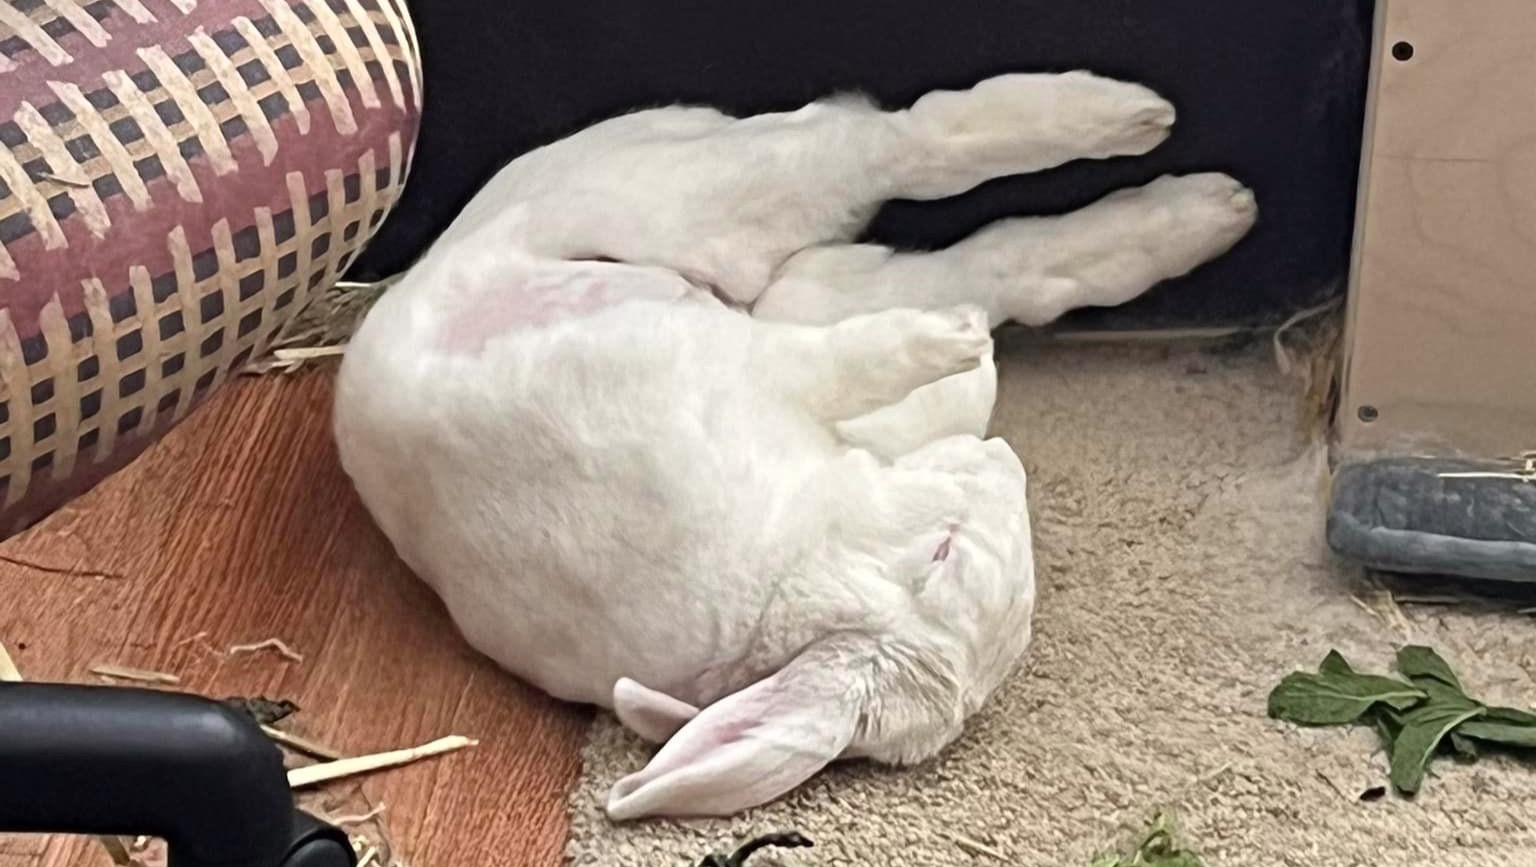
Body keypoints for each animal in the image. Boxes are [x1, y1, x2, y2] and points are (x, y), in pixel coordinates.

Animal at [332, 70, 1258, 822]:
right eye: (943, 553)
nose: (1004, 465)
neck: (790, 560)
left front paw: (962, 355)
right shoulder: (760, 374)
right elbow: (864, 360)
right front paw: (954, 345)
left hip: (741, 220)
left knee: (932, 183)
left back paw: (1174, 170)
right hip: (733, 211)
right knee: (926, 169)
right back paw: (1163, 169)